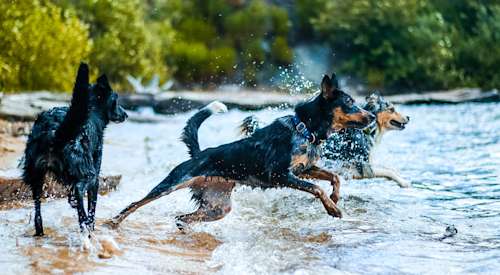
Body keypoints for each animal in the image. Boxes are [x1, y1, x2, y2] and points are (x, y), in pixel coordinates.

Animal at [22, 63, 127, 237]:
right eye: (116, 100)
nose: (126, 114)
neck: (92, 110)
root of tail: (54, 131)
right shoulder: (95, 178)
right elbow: (92, 207)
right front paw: (90, 225)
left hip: (36, 175)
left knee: (37, 212)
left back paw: (40, 231)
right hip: (87, 173)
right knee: (79, 193)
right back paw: (83, 224)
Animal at [110, 74, 376, 231]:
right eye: (350, 102)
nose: (372, 116)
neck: (305, 128)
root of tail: (198, 154)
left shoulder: (304, 169)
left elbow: (334, 177)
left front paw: (335, 198)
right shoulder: (280, 174)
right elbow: (317, 188)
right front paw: (333, 209)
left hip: (218, 208)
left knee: (181, 217)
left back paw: (185, 230)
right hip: (172, 183)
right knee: (135, 204)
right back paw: (113, 223)